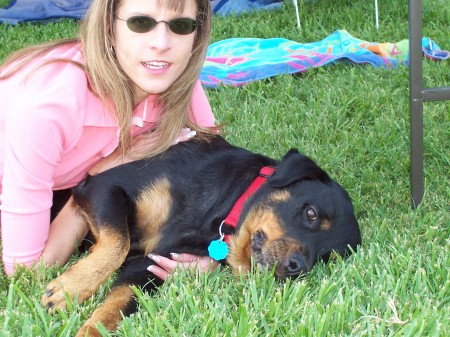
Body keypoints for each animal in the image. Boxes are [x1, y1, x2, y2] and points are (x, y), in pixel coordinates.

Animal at [40, 135, 360, 336]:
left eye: (325, 257)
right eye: (311, 214)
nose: (297, 267)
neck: (222, 210)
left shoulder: (149, 266)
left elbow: (118, 306)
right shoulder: (104, 186)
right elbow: (119, 242)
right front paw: (70, 288)